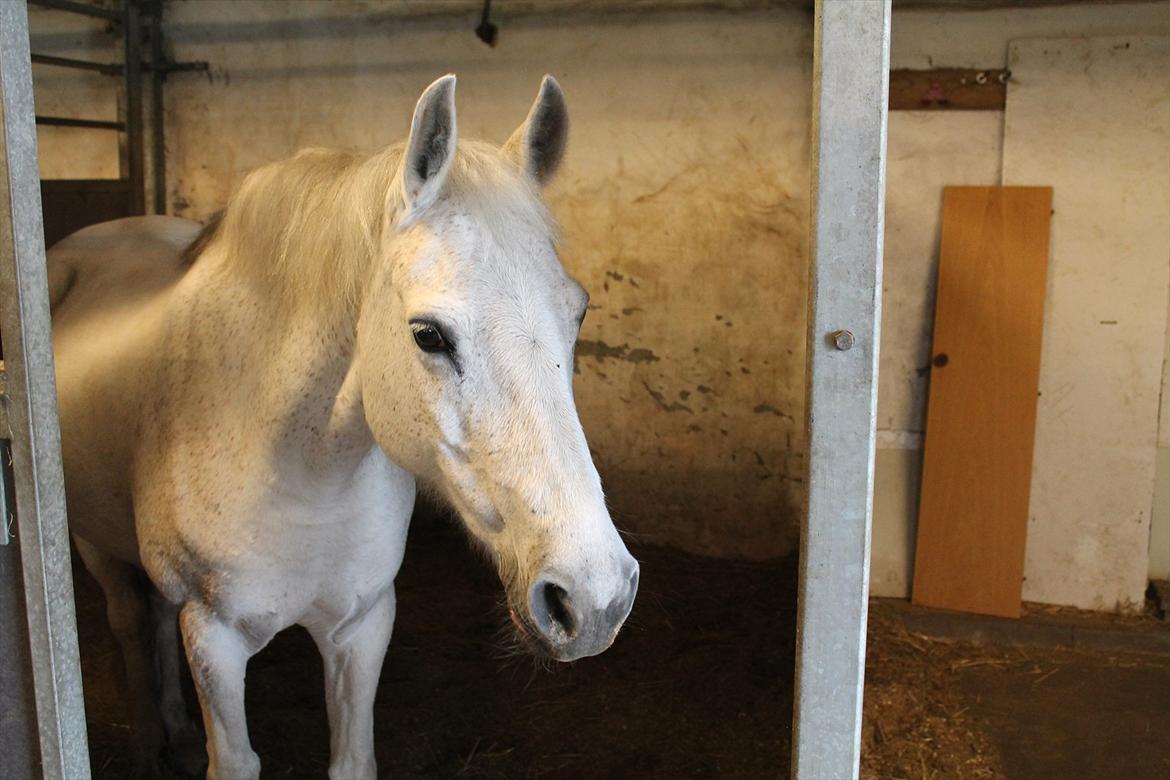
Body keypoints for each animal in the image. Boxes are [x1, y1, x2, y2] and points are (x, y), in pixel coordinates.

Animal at [50, 74, 641, 780]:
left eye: (579, 312)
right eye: (428, 334)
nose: (595, 598)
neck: (301, 472)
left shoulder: (362, 625)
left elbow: (352, 758)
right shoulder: (214, 639)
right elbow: (234, 758)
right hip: (93, 543)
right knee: (129, 623)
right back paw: (147, 742)